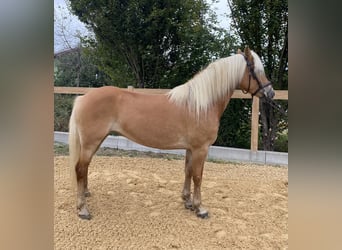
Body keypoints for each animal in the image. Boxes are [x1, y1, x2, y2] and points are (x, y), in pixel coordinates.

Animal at [68, 47, 274, 219]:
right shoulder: (201, 148)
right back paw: (83, 209)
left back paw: (85, 194)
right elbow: (198, 176)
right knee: (80, 168)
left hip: (96, 141)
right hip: (91, 142)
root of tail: (83, 98)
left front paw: (187, 201)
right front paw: (200, 208)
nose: (270, 93)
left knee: (85, 167)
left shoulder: (191, 149)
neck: (200, 104)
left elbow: (188, 171)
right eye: (257, 71)